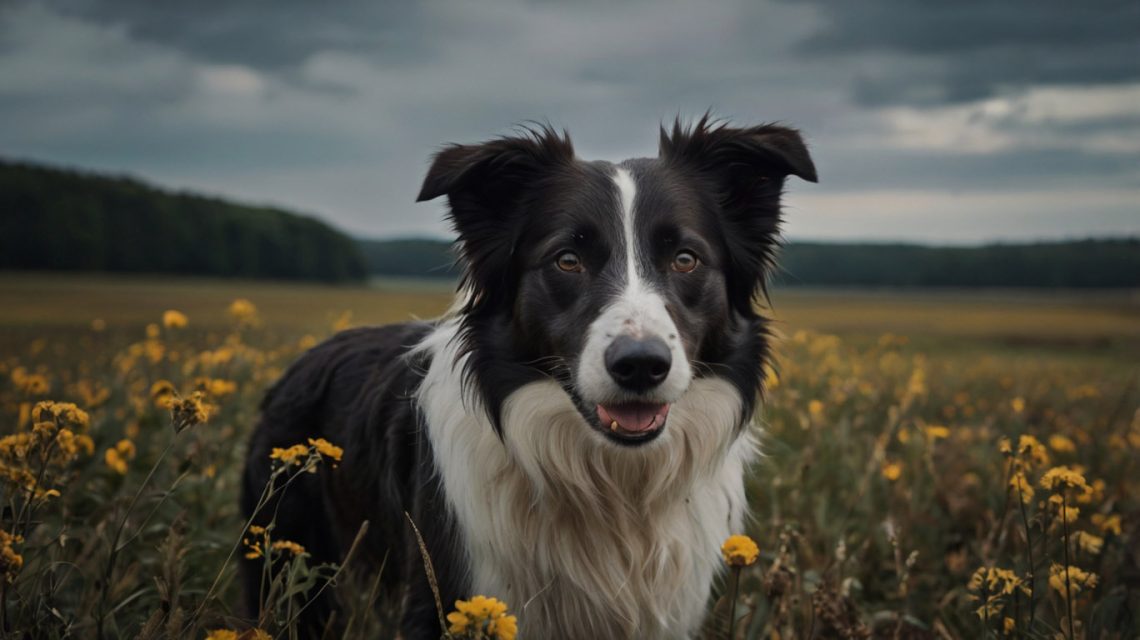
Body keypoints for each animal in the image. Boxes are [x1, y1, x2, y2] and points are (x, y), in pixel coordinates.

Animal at [240, 117, 816, 634]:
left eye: (686, 259)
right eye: (567, 260)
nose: (641, 364)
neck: (613, 487)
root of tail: (308, 357)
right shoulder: (444, 598)